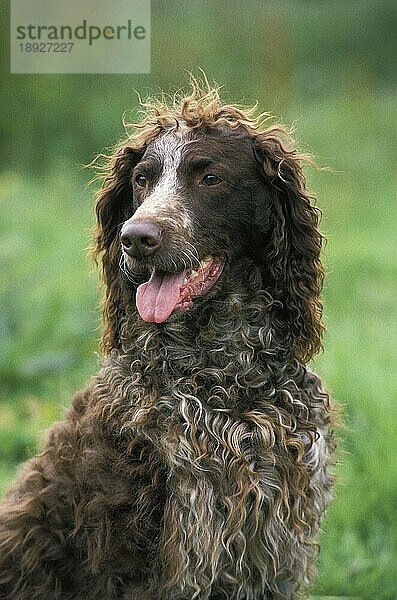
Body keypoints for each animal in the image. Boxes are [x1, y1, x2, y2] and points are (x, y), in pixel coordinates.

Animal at [0, 81, 334, 600]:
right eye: (141, 179)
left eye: (210, 178)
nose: (135, 237)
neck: (225, 381)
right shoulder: (148, 554)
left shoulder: (272, 544)